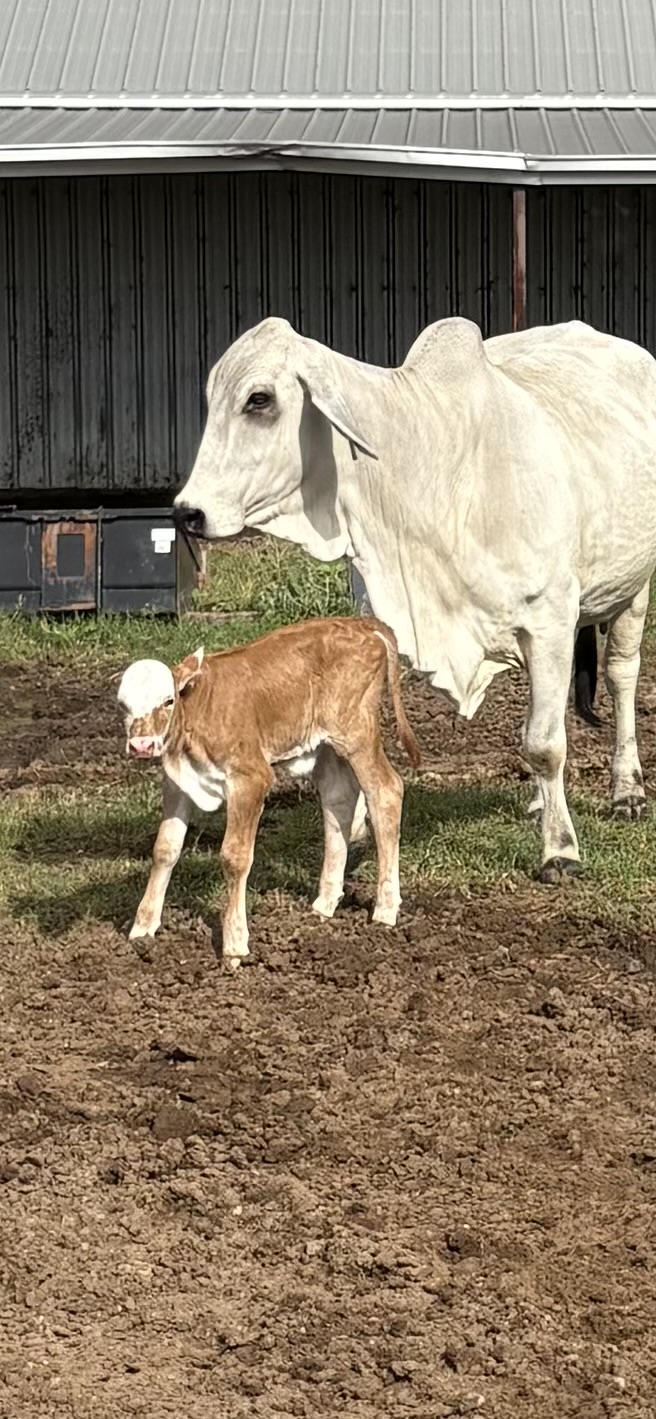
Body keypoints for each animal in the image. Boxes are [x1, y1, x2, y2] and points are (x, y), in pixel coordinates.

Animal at [117, 617, 420, 970]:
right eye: (123, 705)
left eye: (168, 700)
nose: (141, 745)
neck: (196, 711)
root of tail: (358, 622)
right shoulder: (178, 782)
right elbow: (164, 849)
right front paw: (143, 926)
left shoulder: (251, 779)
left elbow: (234, 857)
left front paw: (234, 945)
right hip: (328, 745)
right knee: (339, 800)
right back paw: (325, 902)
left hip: (356, 733)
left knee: (385, 791)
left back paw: (385, 910)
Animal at [173, 316, 656, 882]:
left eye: (259, 399)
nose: (188, 512)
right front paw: (358, 829)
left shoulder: (551, 619)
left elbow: (545, 744)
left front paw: (560, 849)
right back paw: (541, 802)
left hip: (633, 586)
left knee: (620, 676)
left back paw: (626, 790)